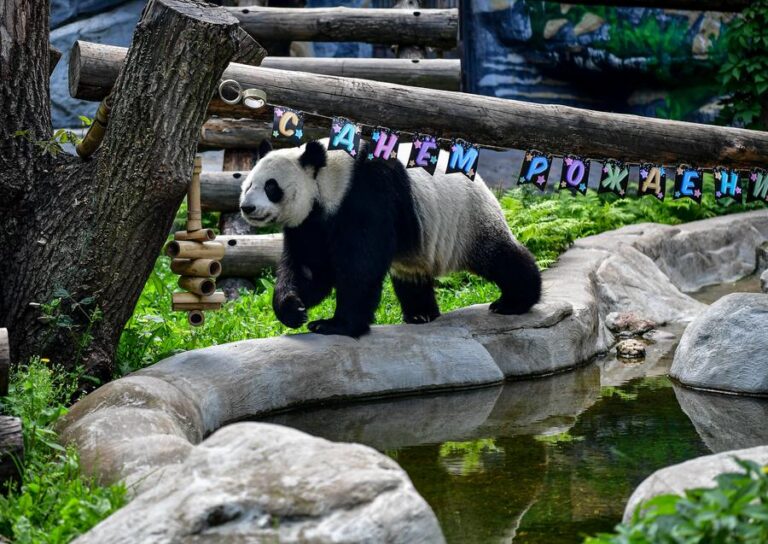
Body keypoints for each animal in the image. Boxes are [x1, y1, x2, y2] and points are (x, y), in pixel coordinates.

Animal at [239, 138, 541, 338]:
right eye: (247, 184)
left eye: (271, 187)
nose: (247, 208)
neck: (331, 177)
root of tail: (480, 181)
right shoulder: (311, 222)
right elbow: (309, 267)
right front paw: (293, 308)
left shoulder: (367, 193)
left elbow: (360, 266)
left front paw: (334, 325)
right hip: (421, 245)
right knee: (412, 276)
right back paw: (420, 314)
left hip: (467, 220)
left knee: (500, 257)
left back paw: (513, 302)